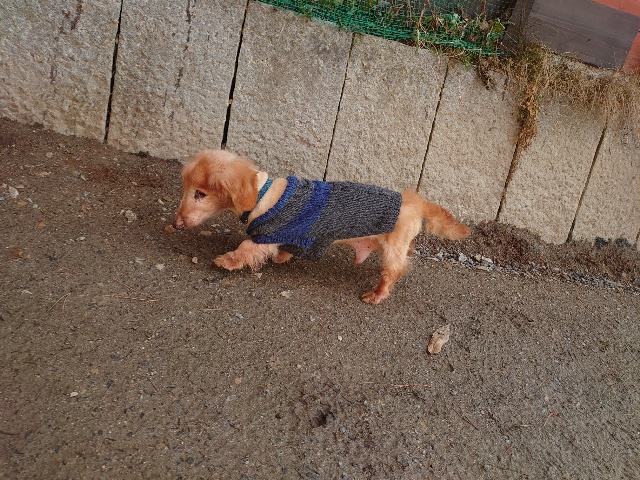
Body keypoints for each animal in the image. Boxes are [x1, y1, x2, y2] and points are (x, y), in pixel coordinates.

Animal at [173, 149, 470, 304]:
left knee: (393, 272)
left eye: (200, 194)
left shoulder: (266, 236)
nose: (176, 224)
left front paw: (226, 260)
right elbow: (283, 251)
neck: (265, 195)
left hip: (392, 249)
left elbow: (246, 248)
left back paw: (376, 294)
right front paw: (282, 258)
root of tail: (414, 202)